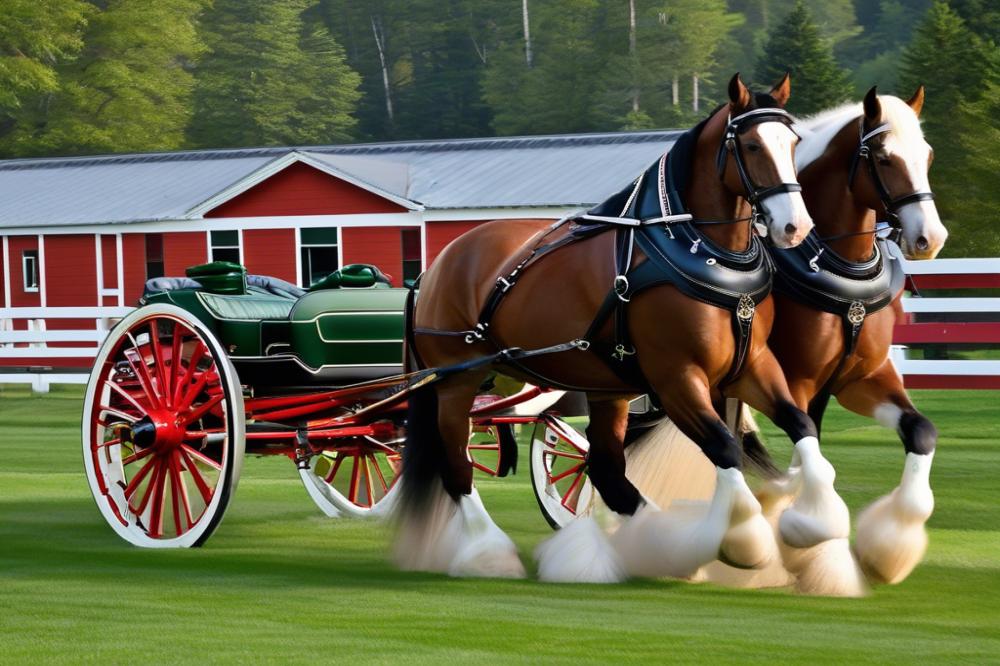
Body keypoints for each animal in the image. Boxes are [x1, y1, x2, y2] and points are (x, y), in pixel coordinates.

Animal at [394, 74, 840, 580]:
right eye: (750, 145)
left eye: (794, 142)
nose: (794, 227)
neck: (698, 249)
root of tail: (438, 264)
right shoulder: (676, 378)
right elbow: (725, 447)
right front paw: (746, 540)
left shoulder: (752, 366)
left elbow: (800, 424)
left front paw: (816, 520)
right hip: (456, 381)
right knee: (458, 467)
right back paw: (490, 553)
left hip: (607, 388)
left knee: (607, 472)